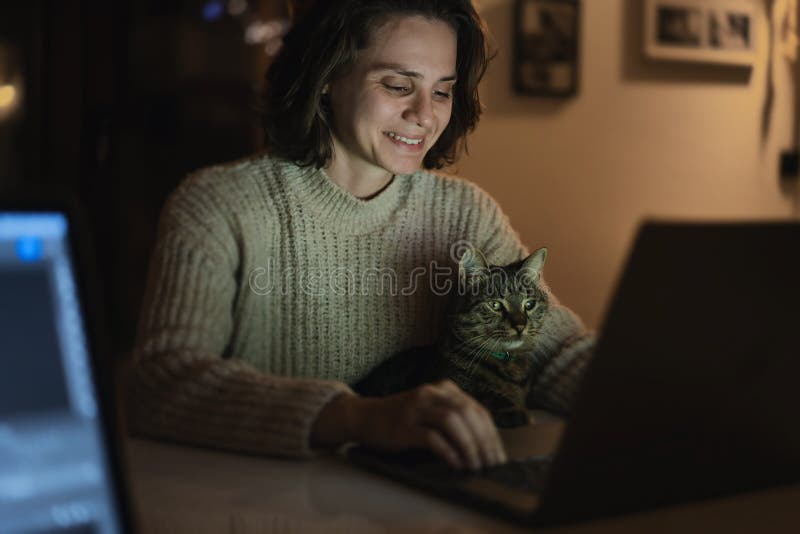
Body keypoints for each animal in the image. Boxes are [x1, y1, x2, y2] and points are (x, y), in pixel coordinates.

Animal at [354, 248, 552, 432]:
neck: (507, 365)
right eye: (495, 305)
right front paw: (514, 413)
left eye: (529, 304)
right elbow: (485, 400)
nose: (520, 325)